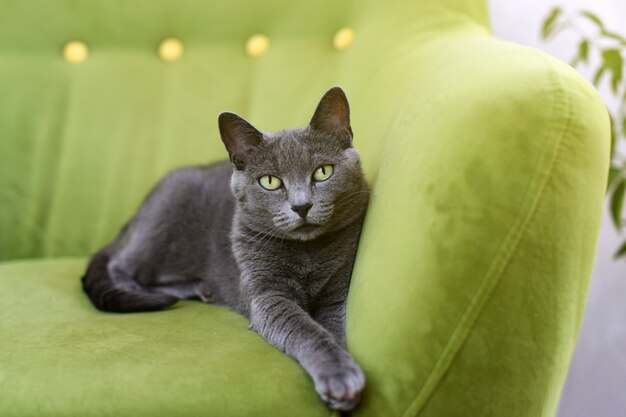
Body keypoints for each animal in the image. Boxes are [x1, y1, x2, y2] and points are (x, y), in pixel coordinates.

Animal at [80, 86, 368, 408]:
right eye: (270, 181)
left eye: (323, 172)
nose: (302, 205)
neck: (306, 253)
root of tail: (132, 219)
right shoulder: (266, 296)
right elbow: (306, 329)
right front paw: (340, 377)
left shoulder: (338, 290)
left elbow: (332, 327)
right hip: (161, 218)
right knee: (121, 265)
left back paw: (198, 289)